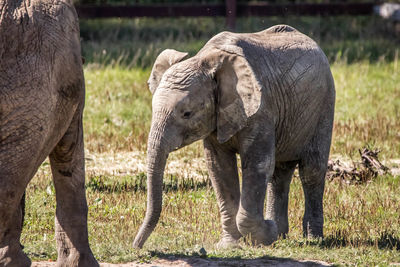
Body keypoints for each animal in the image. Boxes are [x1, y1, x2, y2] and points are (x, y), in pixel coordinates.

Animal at [134, 24, 334, 249]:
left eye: (187, 113)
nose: (137, 246)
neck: (205, 59)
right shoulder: (215, 118)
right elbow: (219, 169)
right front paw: (232, 245)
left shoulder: (261, 110)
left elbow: (258, 165)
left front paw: (264, 235)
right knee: (280, 174)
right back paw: (281, 234)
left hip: (324, 104)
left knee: (311, 171)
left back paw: (312, 239)